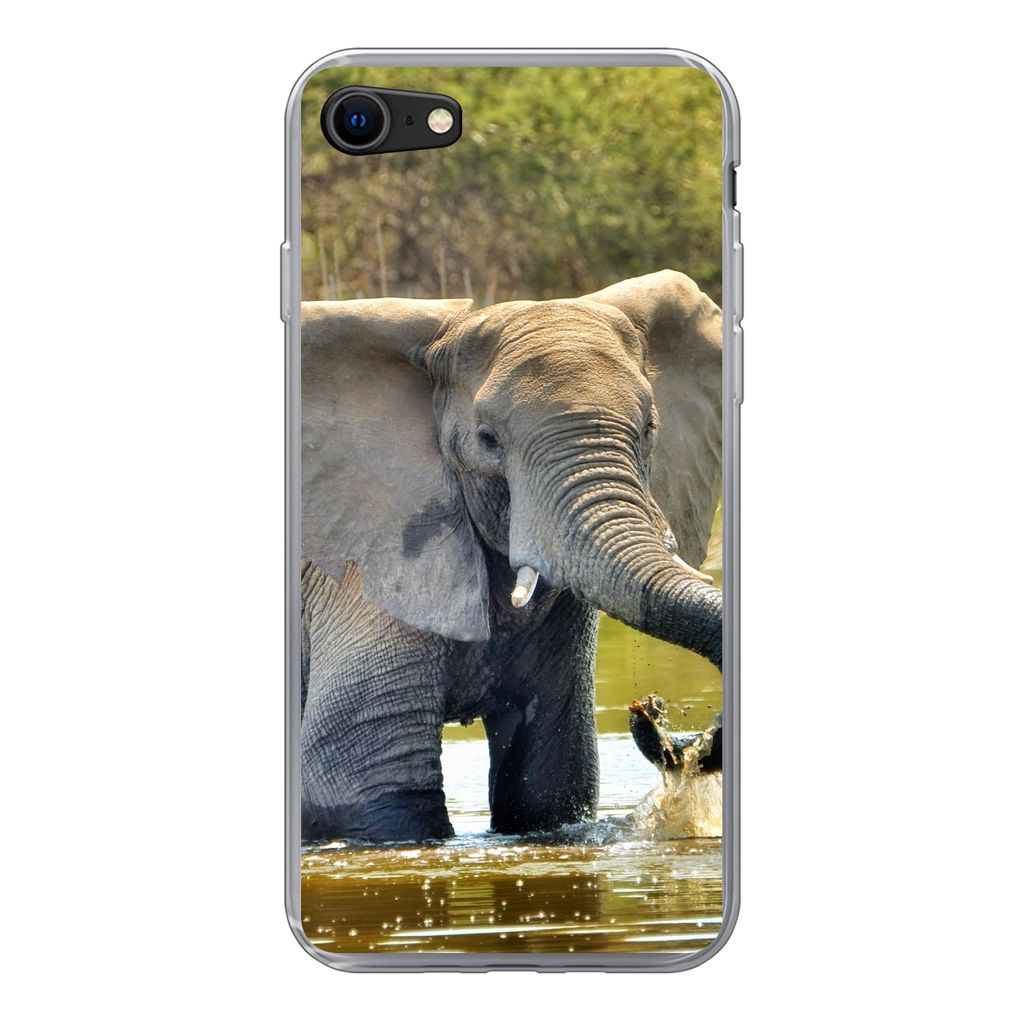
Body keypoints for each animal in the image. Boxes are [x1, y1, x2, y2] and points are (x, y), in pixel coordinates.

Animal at [300, 269, 724, 843]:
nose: (650, 710)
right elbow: (364, 783)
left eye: (650, 429)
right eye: (487, 440)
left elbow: (548, 780)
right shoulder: (363, 559)